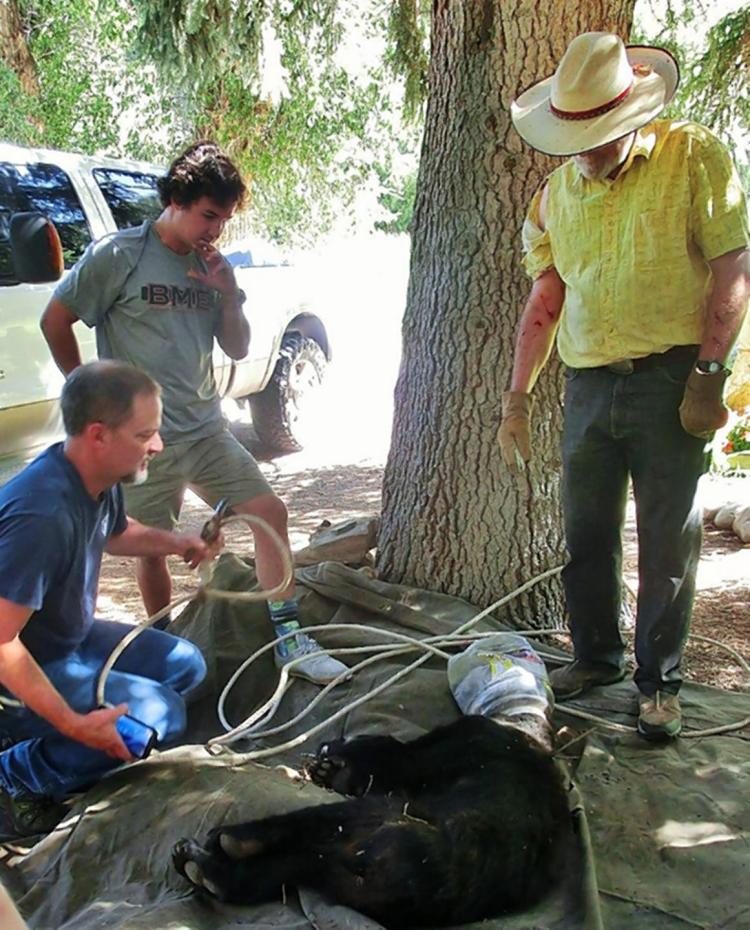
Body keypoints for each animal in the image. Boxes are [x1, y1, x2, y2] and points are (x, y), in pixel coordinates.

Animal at [175, 716, 576, 924]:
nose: (324, 749)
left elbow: (383, 756)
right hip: (334, 871)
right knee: (274, 872)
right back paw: (205, 869)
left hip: (368, 818)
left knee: (291, 832)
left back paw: (225, 844)